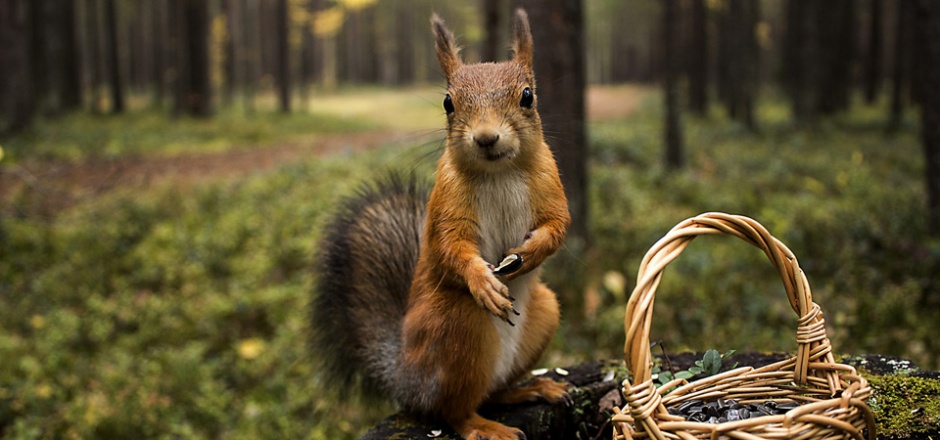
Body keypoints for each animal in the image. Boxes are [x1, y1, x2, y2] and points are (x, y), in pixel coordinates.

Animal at [312, 10, 568, 440]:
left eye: (528, 96)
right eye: (448, 103)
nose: (486, 137)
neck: (498, 172)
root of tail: (406, 377)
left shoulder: (551, 185)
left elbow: (558, 226)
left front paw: (530, 253)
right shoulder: (447, 202)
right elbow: (450, 246)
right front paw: (483, 281)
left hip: (545, 310)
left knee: (492, 392)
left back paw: (531, 389)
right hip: (456, 325)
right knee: (452, 410)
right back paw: (484, 426)